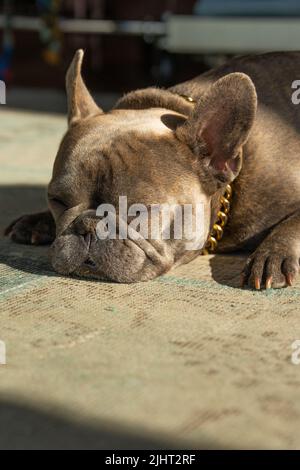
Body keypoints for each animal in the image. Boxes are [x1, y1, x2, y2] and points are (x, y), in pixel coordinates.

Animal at [5, 49, 300, 288]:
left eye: (140, 211)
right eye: (57, 201)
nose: (88, 225)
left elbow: (292, 223)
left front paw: (272, 255)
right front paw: (38, 220)